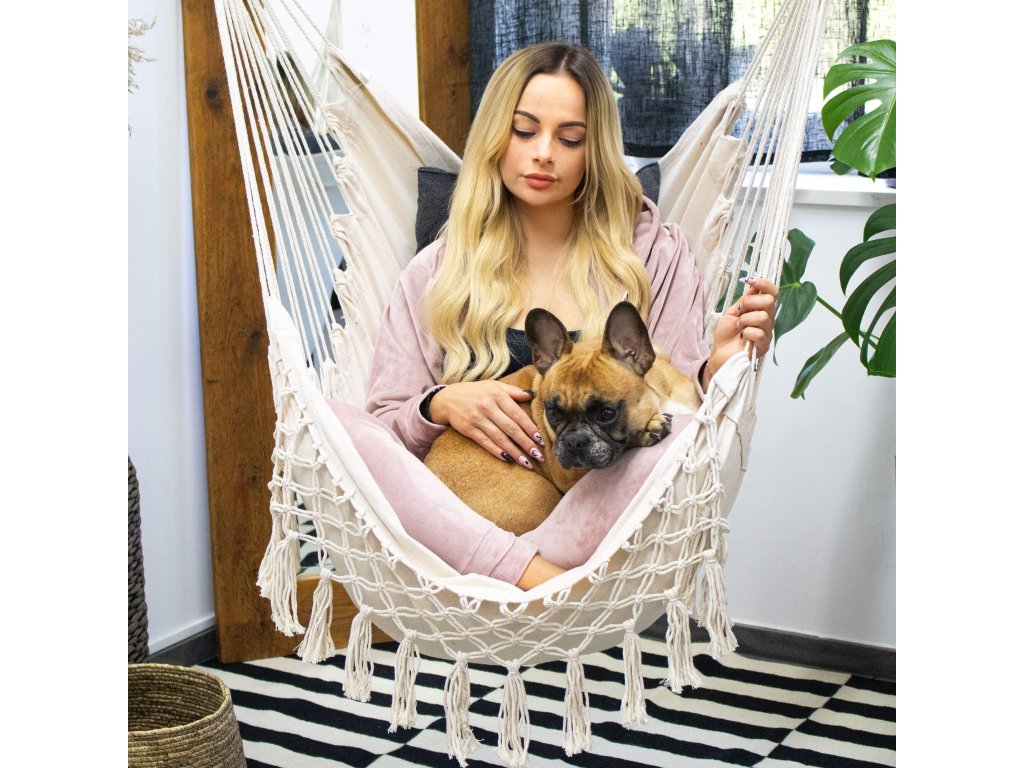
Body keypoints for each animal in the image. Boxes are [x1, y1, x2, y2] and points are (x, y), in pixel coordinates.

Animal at [423, 301, 701, 535]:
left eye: (606, 413)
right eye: (553, 413)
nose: (573, 440)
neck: (657, 397)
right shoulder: (571, 476)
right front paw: (647, 429)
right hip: (538, 495)